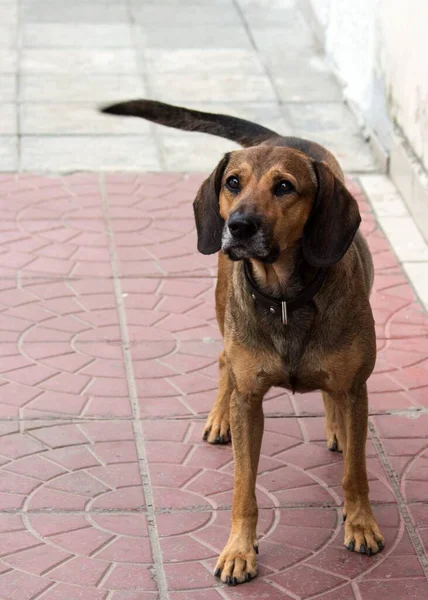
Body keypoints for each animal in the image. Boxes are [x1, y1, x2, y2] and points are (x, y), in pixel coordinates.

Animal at [102, 99, 386, 584]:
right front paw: (239, 548)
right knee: (222, 361)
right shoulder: (250, 400)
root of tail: (280, 135)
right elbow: (242, 486)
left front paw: (361, 523)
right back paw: (220, 417)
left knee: (333, 401)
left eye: (285, 187)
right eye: (233, 182)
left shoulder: (355, 388)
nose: (238, 226)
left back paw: (335, 425)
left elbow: (355, 472)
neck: (286, 298)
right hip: (223, 308)